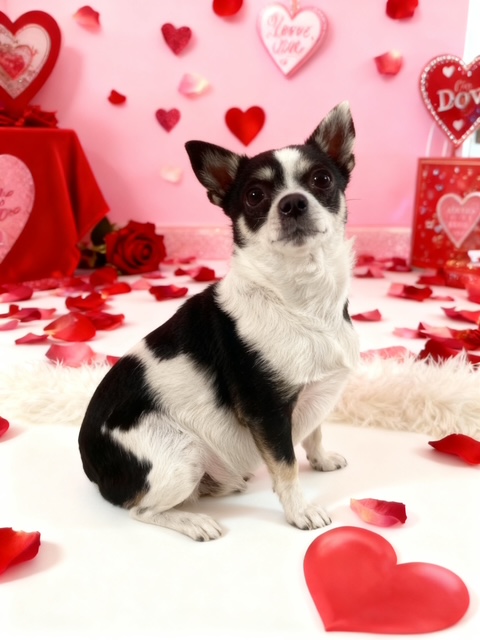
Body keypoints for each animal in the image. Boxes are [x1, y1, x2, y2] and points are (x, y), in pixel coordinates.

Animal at [78, 102, 360, 541]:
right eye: (255, 195)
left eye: (322, 179)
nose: (292, 203)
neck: (300, 299)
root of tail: (90, 466)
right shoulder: (268, 414)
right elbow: (286, 468)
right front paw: (299, 511)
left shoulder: (312, 394)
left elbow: (313, 431)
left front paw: (322, 458)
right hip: (181, 454)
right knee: (140, 509)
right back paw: (192, 521)